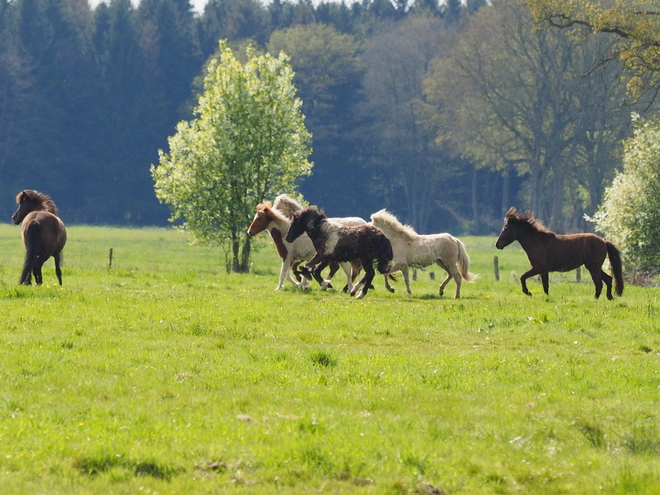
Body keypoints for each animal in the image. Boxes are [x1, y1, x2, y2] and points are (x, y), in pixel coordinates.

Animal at [496, 207, 624, 300]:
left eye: (506, 228)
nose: (497, 245)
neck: (537, 242)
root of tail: (604, 241)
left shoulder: (538, 268)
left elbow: (523, 277)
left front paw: (528, 292)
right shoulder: (544, 271)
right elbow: (546, 286)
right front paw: (546, 298)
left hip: (593, 267)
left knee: (599, 283)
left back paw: (596, 298)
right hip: (594, 267)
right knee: (608, 279)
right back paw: (609, 297)